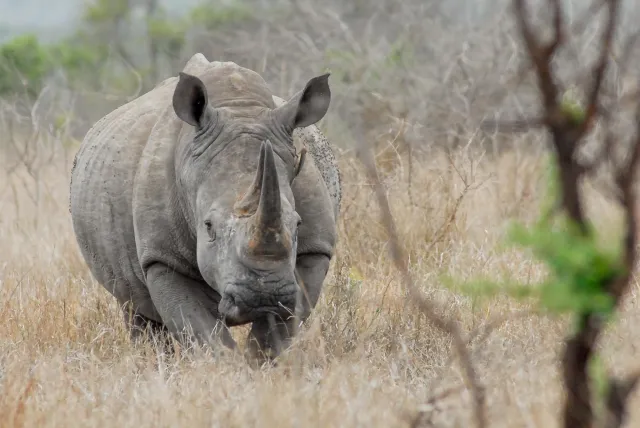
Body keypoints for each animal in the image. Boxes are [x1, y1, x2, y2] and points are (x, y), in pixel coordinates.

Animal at [68, 53, 342, 362]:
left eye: (297, 224)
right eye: (208, 227)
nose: (263, 297)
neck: (239, 108)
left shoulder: (314, 250)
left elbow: (279, 329)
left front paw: (258, 362)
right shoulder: (162, 257)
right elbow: (201, 332)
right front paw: (226, 367)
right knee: (136, 307)